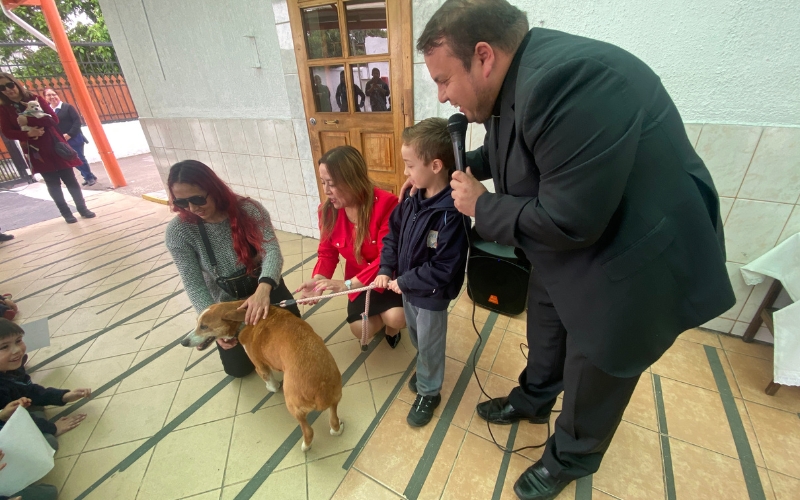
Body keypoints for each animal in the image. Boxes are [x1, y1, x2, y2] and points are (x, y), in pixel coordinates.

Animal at [181, 300, 344, 454]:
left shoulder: (259, 365)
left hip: (294, 408)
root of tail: (321, 390)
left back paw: (306, 446)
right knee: (333, 420)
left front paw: (272, 387)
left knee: (308, 432)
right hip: (335, 399)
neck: (244, 317)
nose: (183, 342)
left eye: (204, 326)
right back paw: (337, 429)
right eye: (197, 323)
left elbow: (269, 380)